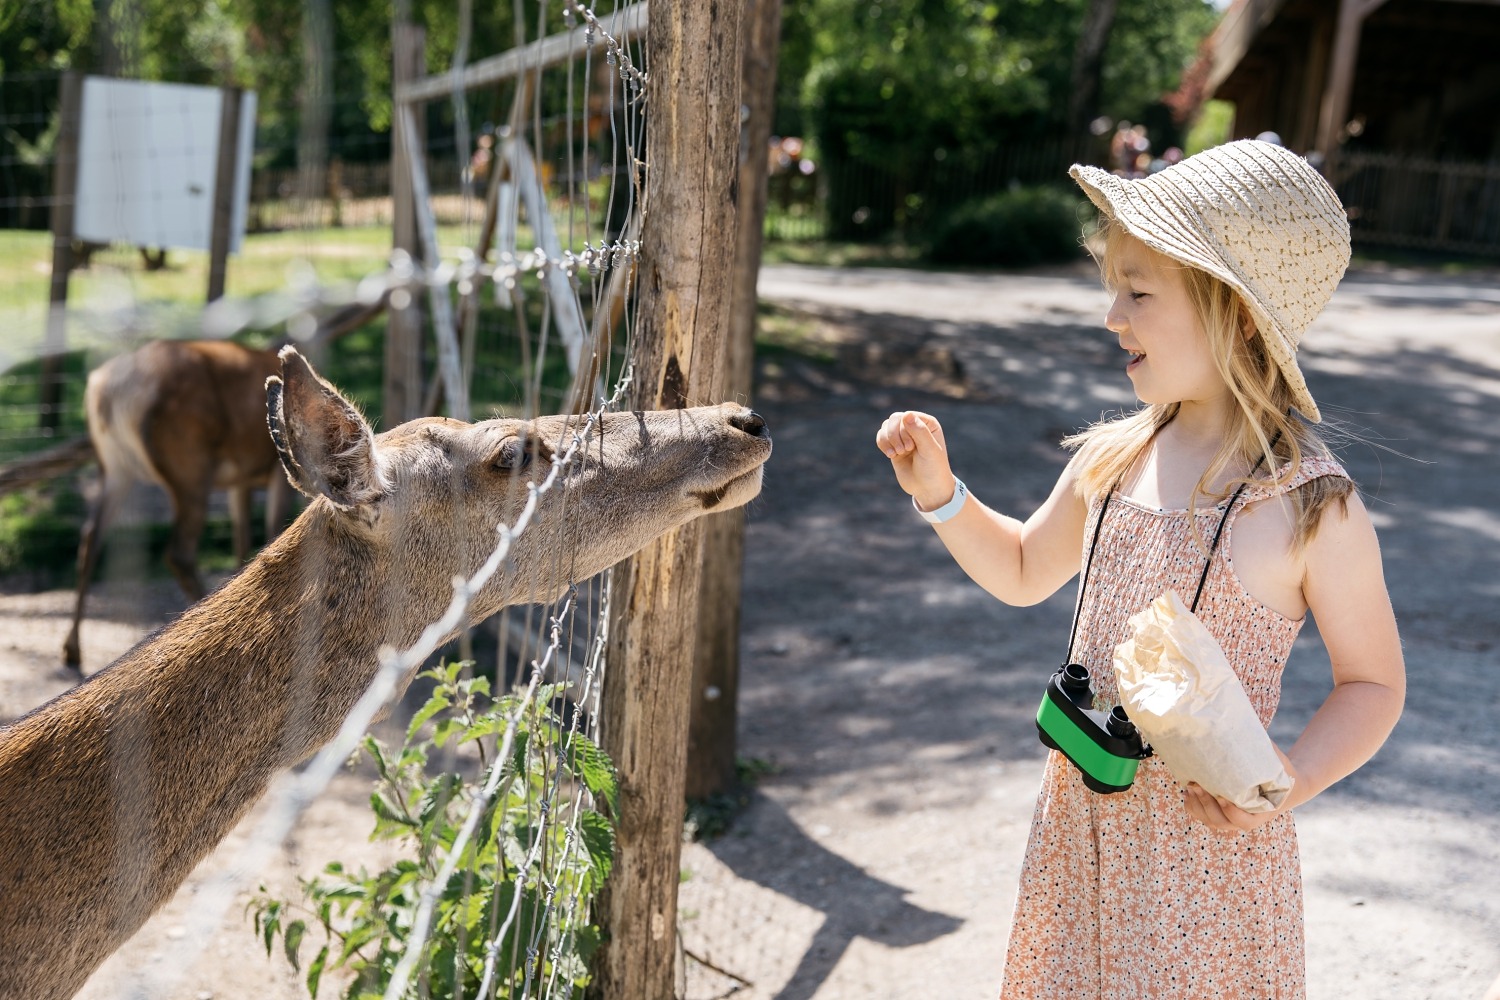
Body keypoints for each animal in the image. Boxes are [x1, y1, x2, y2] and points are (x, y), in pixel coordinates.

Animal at [63, 338, 295, 671]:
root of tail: (109, 392)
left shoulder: (241, 478)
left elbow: (243, 541)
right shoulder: (275, 467)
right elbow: (272, 532)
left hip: (113, 466)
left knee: (90, 536)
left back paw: (72, 649)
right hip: (189, 464)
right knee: (178, 553)